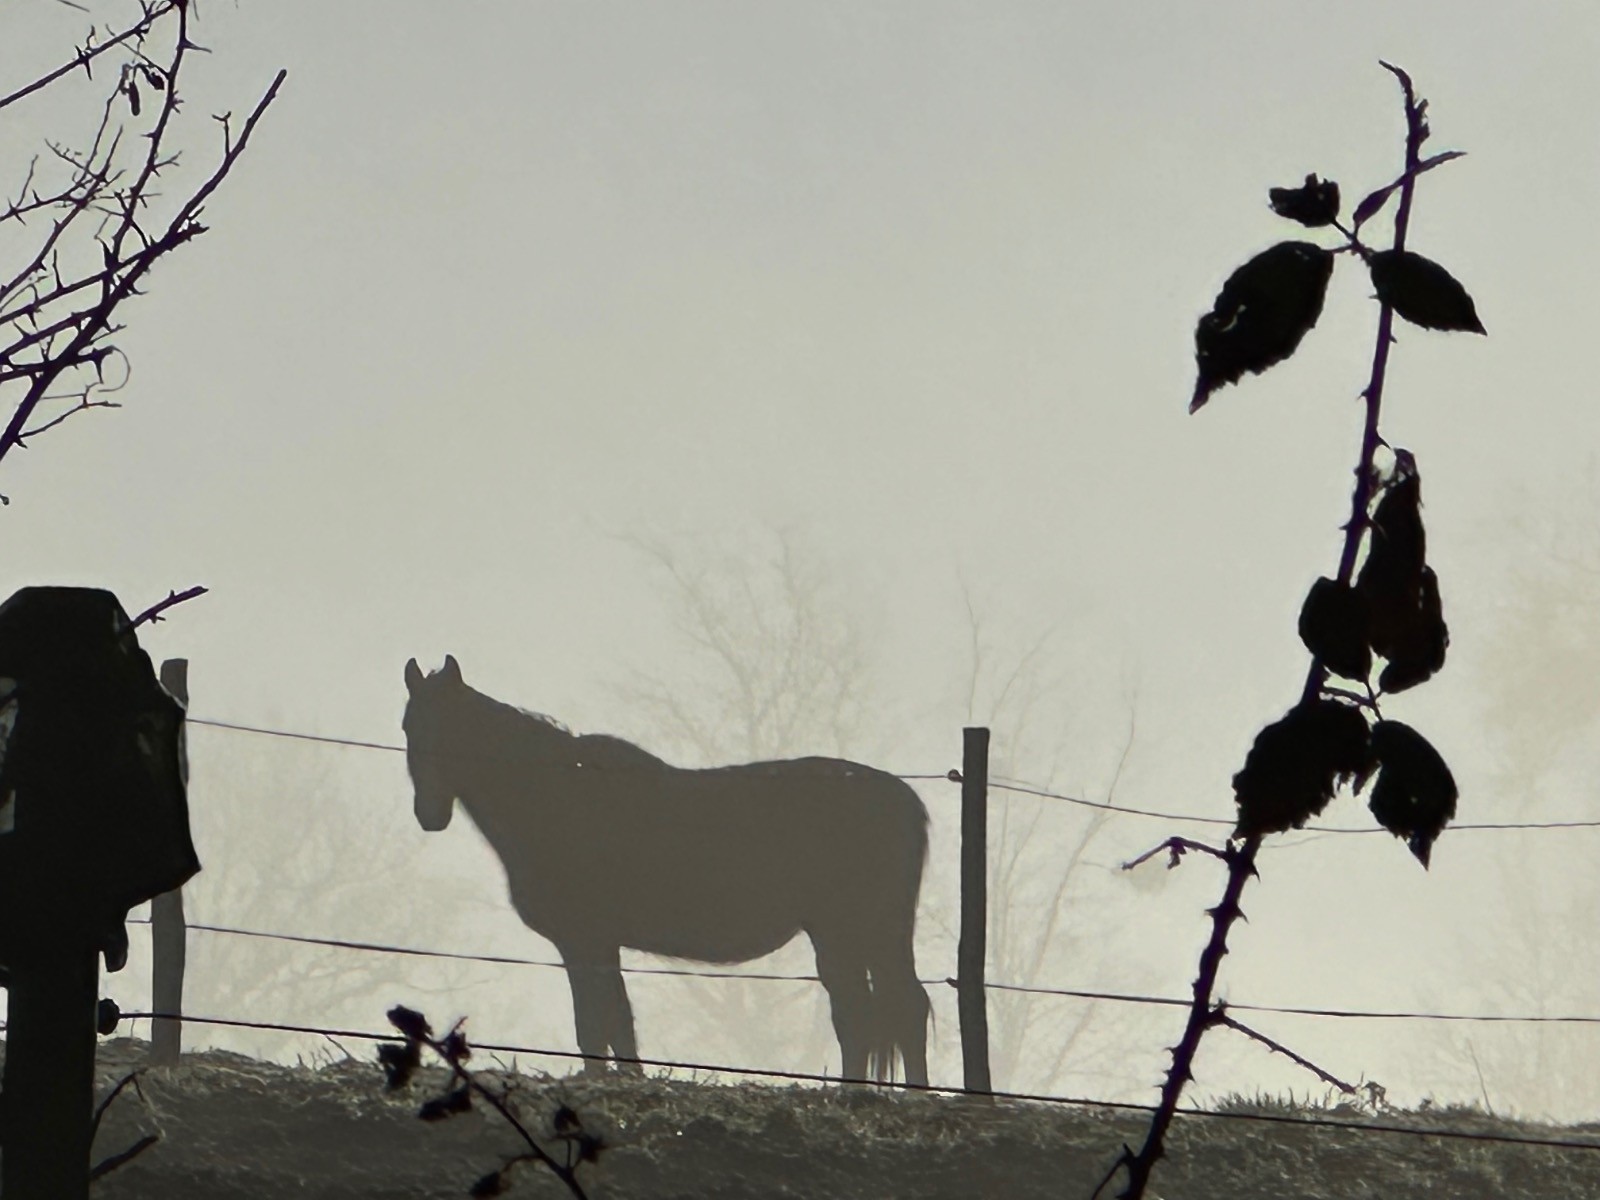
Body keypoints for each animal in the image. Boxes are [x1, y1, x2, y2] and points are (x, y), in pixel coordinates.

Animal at [402, 655, 931, 1084]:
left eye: (454, 729)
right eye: (409, 727)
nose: (429, 814)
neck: (562, 798)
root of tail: (902, 798)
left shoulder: (584, 939)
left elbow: (594, 1024)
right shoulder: (598, 943)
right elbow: (617, 1020)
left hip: (848, 930)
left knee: (883, 1011)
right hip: (856, 933)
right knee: (877, 1011)